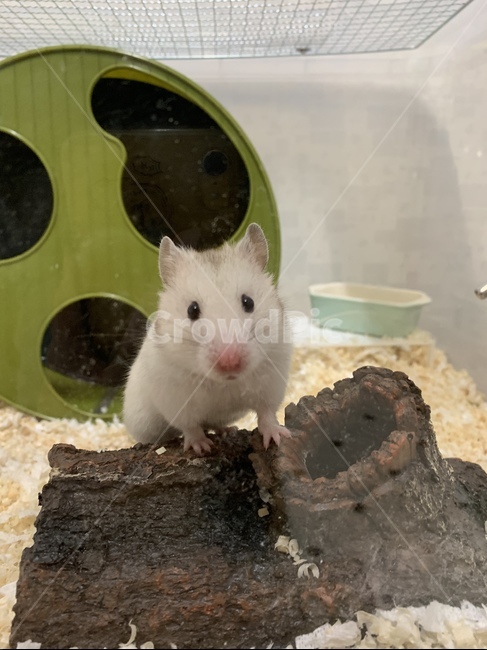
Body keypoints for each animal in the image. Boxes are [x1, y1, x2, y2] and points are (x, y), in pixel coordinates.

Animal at [123, 223, 293, 455]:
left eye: (248, 302)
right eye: (192, 310)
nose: (230, 362)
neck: (225, 383)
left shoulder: (272, 382)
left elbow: (266, 413)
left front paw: (277, 437)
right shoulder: (176, 400)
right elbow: (191, 426)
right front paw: (201, 448)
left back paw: (227, 430)